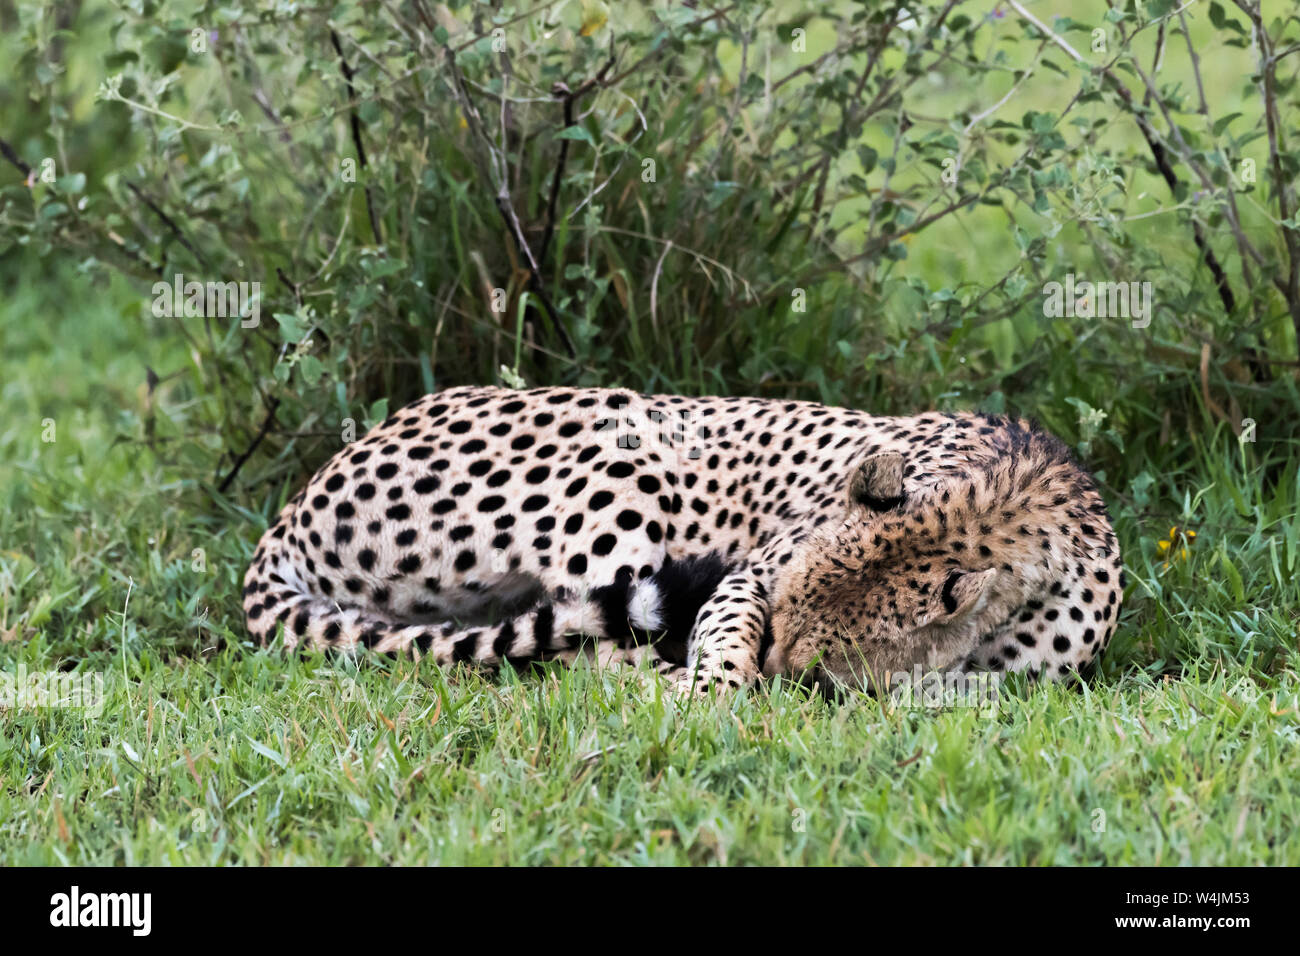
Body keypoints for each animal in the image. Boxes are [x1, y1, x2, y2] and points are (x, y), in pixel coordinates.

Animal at [241, 385, 1118, 691]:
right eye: (779, 611)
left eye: (822, 660)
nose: (780, 677)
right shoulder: (748, 574)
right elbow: (723, 635)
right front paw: (716, 691)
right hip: (626, 455)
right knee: (588, 646)